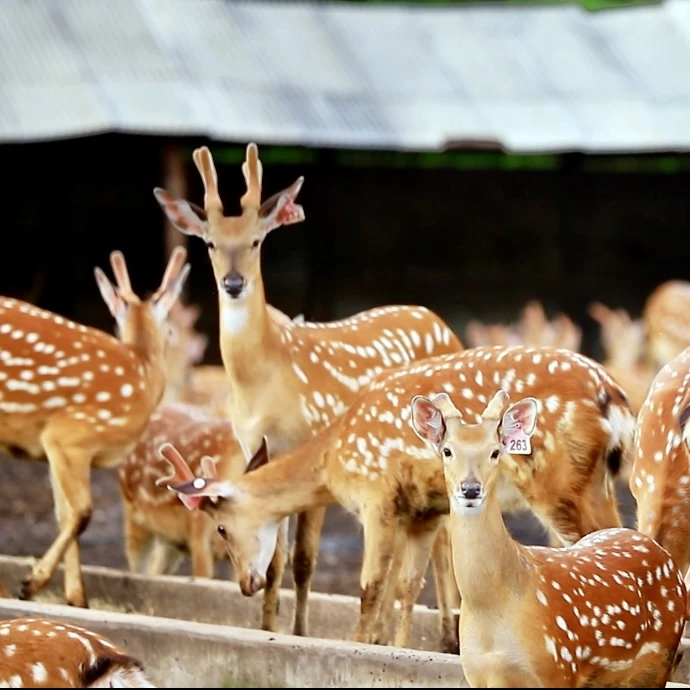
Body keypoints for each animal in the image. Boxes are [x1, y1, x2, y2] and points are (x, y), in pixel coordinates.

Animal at [0, 246, 190, 608]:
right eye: (171, 331)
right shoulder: (70, 434)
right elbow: (83, 512)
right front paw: (32, 584)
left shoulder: (54, 449)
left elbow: (65, 514)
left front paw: (76, 598)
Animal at [152, 141, 464, 638]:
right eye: (210, 242)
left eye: (256, 241)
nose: (233, 283)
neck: (264, 380)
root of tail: (437, 320)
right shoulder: (256, 447)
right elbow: (276, 558)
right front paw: (268, 627)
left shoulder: (315, 437)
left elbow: (303, 558)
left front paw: (300, 633)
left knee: (442, 540)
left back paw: (446, 633)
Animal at [157, 345, 634, 655]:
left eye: (221, 526)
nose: (245, 584)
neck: (333, 458)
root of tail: (613, 398)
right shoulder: (421, 511)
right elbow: (402, 586)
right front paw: (394, 646)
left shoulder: (376, 495)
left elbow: (370, 586)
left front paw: (357, 644)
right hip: (596, 480)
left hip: (560, 481)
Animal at [411, 388, 686, 688]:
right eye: (447, 451)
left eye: (495, 452)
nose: (470, 489)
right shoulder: (477, 673)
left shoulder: (558, 667)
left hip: (659, 661)